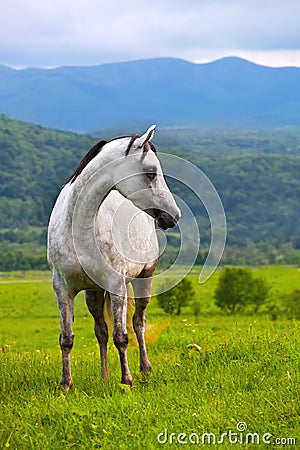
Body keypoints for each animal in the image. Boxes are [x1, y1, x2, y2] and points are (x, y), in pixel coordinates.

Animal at [47, 125, 179, 390]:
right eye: (151, 173)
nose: (173, 216)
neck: (79, 228)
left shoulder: (117, 285)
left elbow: (122, 336)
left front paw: (126, 381)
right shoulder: (62, 289)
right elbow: (67, 338)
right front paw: (66, 385)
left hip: (143, 279)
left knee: (138, 322)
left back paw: (144, 369)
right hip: (94, 292)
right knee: (101, 330)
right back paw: (104, 375)